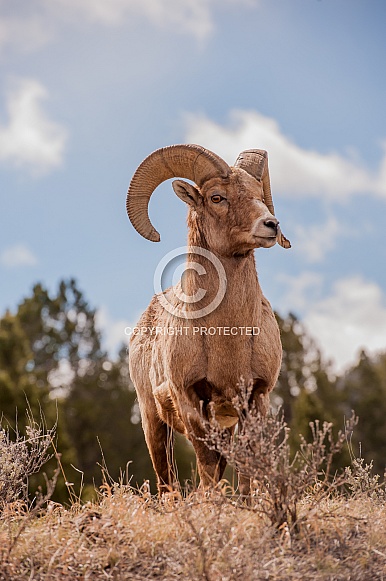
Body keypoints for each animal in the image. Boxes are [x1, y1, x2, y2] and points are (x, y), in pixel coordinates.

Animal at [126, 143, 290, 492]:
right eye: (217, 197)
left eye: (259, 193)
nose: (271, 225)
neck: (228, 345)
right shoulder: (190, 402)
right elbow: (208, 466)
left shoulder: (255, 399)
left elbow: (246, 470)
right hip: (152, 421)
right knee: (167, 481)